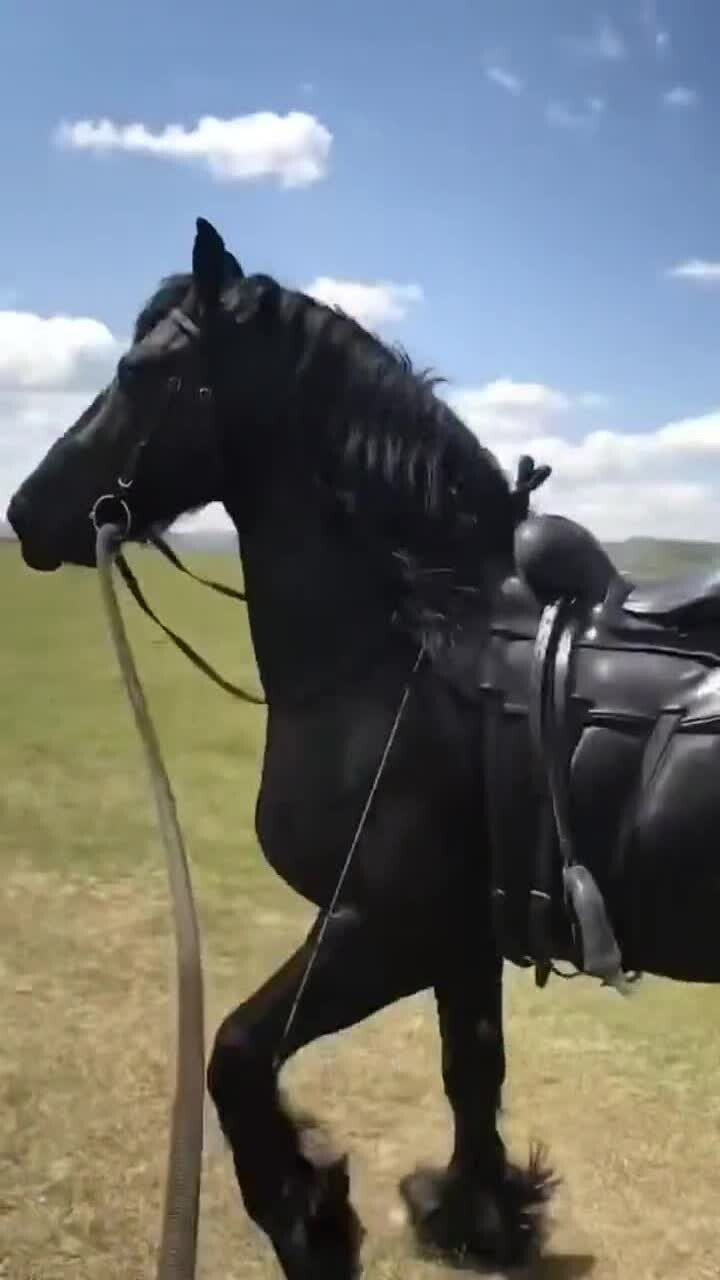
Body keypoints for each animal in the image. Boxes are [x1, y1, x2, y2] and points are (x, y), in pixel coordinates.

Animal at [9, 216, 720, 1278]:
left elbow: (235, 1052)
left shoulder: (383, 927)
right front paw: (478, 1217)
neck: (411, 648)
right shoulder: (462, 936)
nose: (25, 512)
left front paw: (310, 1218)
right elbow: (472, 1071)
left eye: (141, 371)